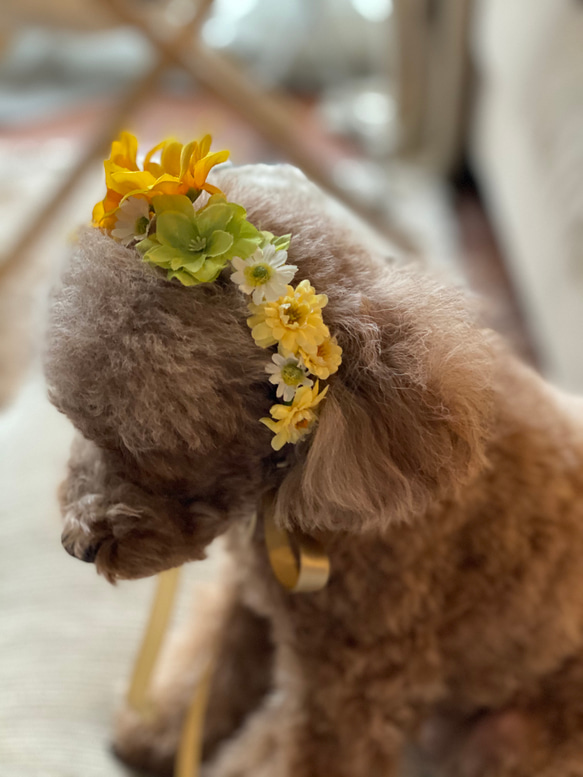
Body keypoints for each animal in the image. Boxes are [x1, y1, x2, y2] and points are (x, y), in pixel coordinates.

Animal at [44, 164, 583, 776]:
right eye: (83, 424)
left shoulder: (347, 689)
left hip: (507, 738)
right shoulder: (252, 594)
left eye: (156, 450)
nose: (76, 545)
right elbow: (214, 662)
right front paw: (157, 730)